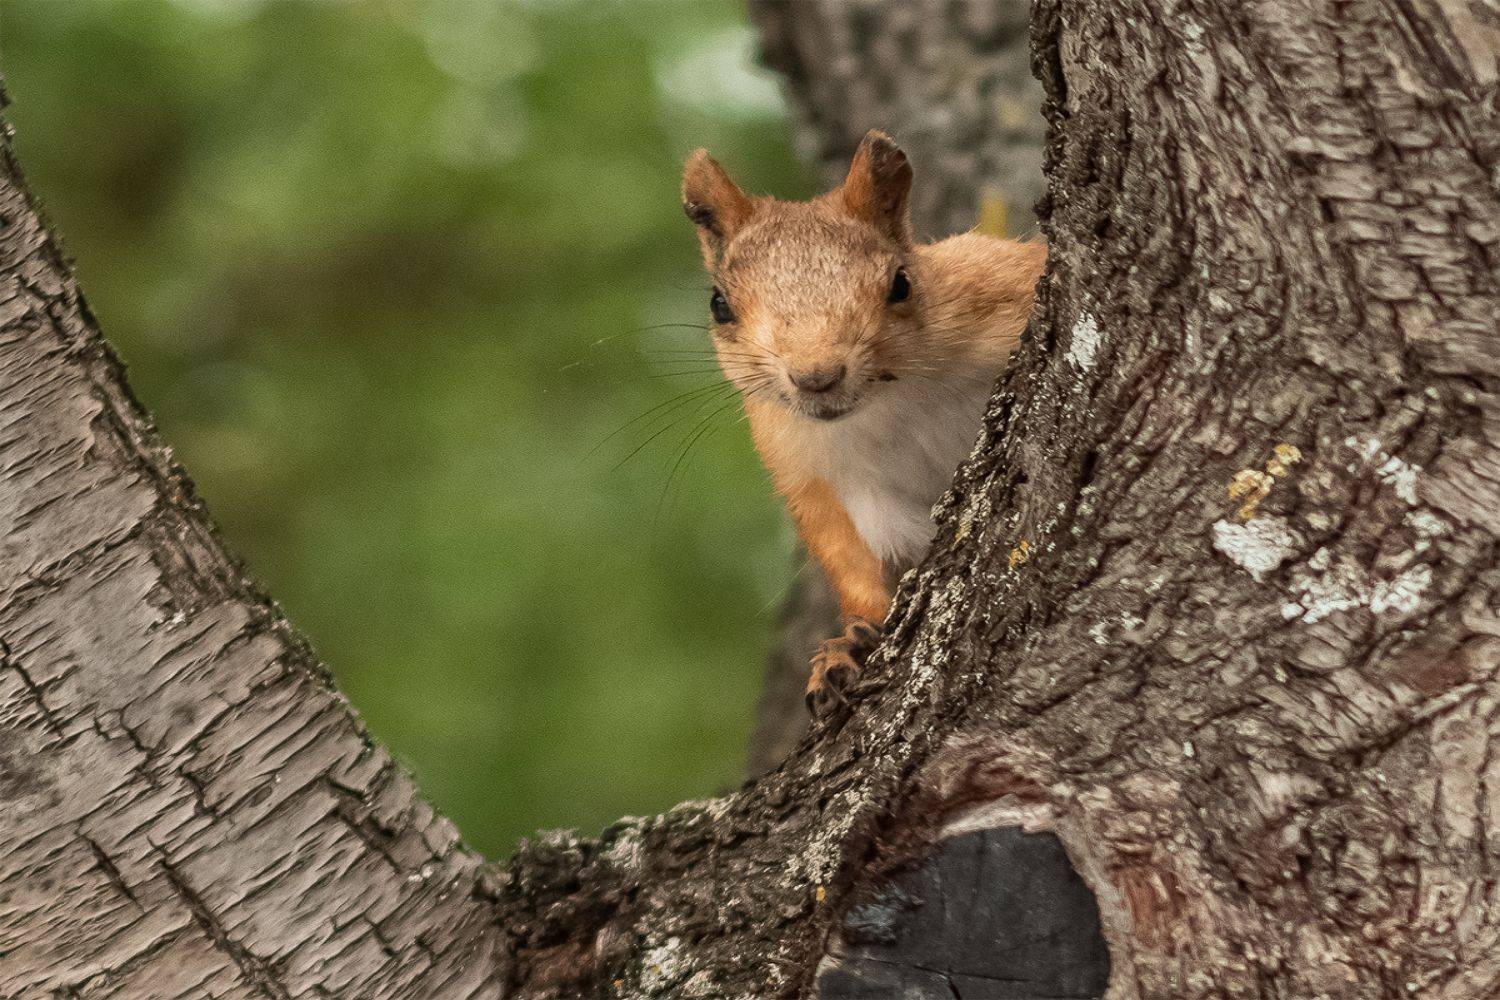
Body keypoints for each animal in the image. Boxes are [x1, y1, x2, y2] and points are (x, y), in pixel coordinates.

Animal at [681, 129, 1045, 715]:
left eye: (901, 284)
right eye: (719, 305)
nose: (817, 376)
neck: (889, 401)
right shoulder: (808, 472)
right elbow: (849, 559)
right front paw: (845, 647)